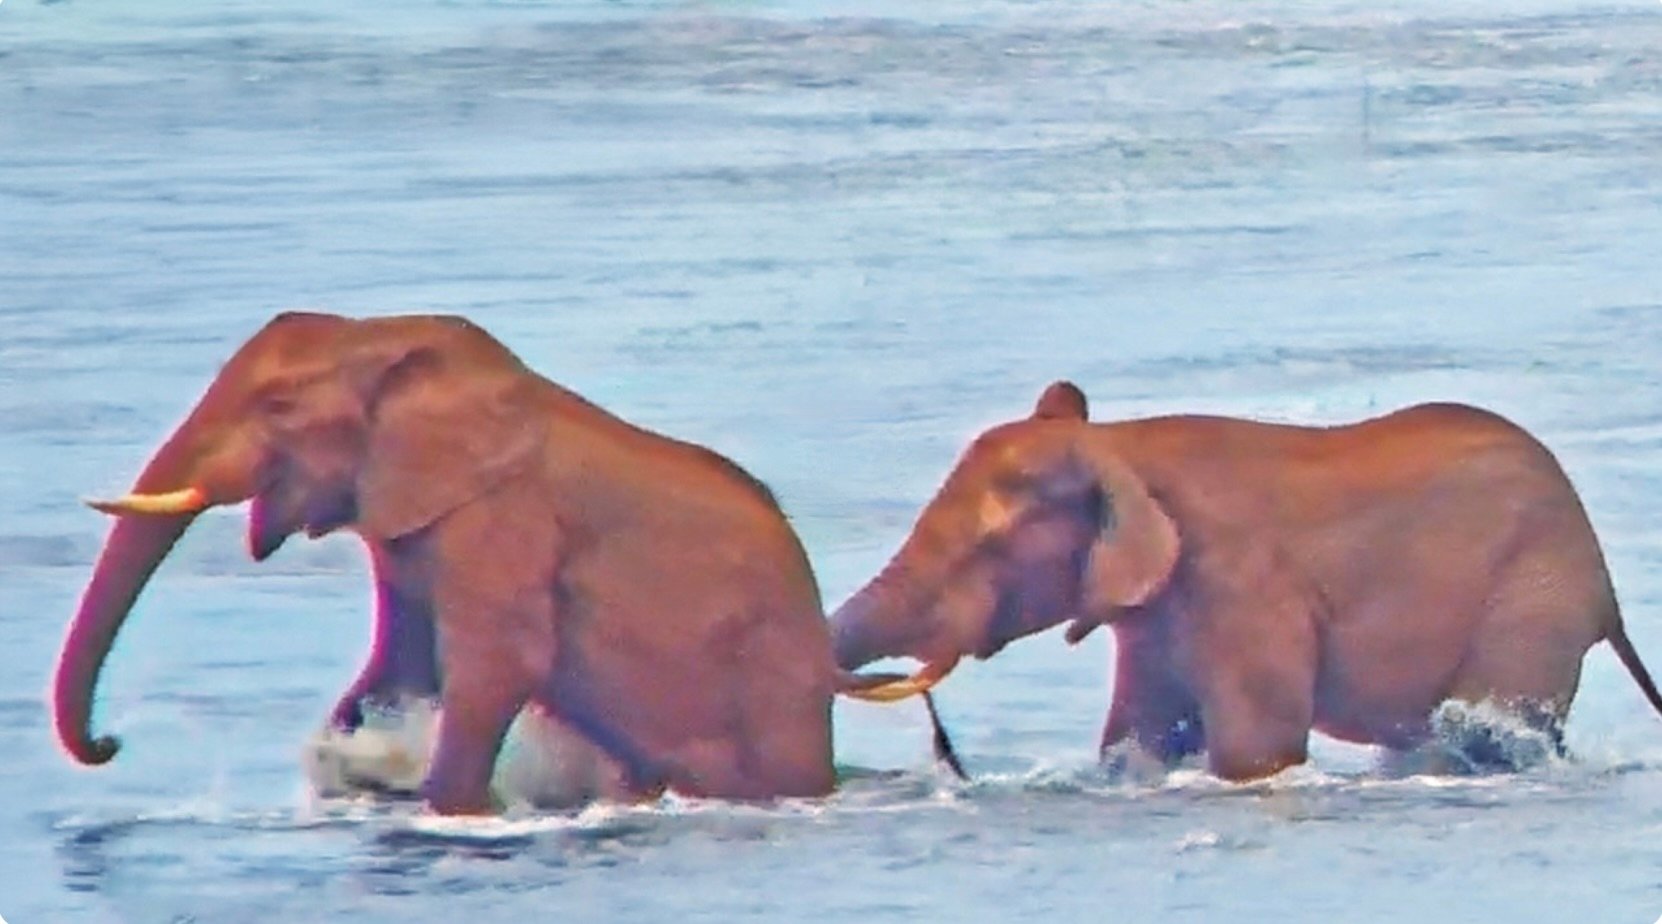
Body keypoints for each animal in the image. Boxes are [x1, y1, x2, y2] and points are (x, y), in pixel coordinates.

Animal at [53, 311, 935, 814]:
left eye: (277, 407)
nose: (110, 744)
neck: (386, 338)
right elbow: (400, 666)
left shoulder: (504, 522)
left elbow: (496, 667)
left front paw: (449, 810)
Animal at [828, 380, 1662, 781]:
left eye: (989, 546)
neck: (1118, 445)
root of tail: (1608, 594)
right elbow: (1140, 738)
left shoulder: (1243, 586)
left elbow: (1256, 748)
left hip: (1533, 602)